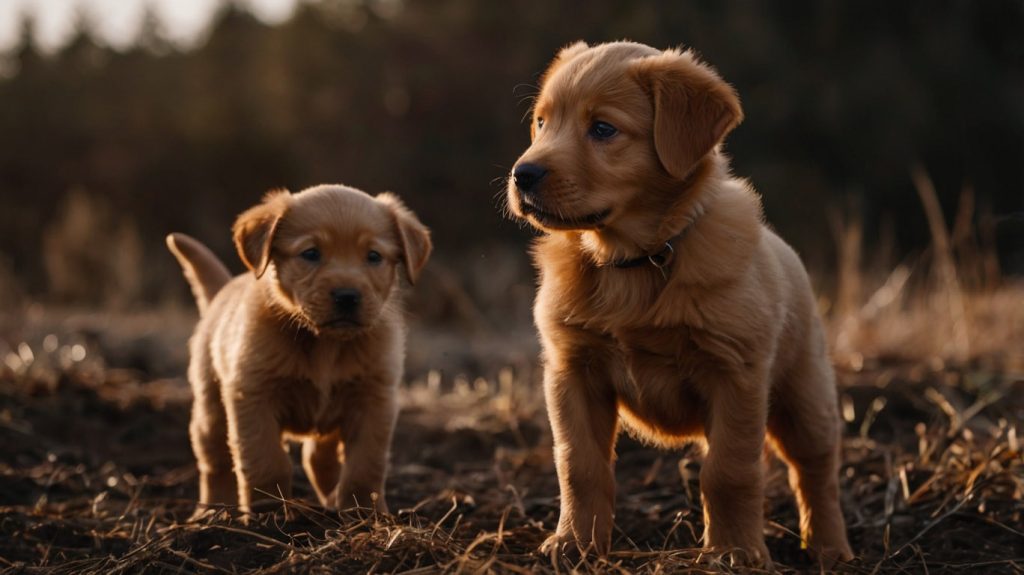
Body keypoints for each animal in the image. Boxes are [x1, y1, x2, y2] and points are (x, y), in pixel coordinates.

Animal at [165, 183, 430, 515]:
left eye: (373, 256)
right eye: (311, 253)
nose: (347, 296)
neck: (325, 343)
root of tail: (222, 291)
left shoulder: (375, 398)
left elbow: (366, 465)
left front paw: (364, 512)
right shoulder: (253, 395)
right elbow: (266, 461)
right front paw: (269, 510)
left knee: (317, 457)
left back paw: (331, 501)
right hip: (210, 408)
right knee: (215, 463)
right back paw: (212, 511)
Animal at [507, 41, 851, 564]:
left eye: (603, 128)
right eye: (542, 122)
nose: (522, 175)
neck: (633, 260)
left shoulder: (735, 374)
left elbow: (729, 472)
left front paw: (734, 552)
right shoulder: (572, 371)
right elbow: (579, 465)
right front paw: (575, 543)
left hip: (806, 399)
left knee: (816, 473)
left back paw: (831, 548)